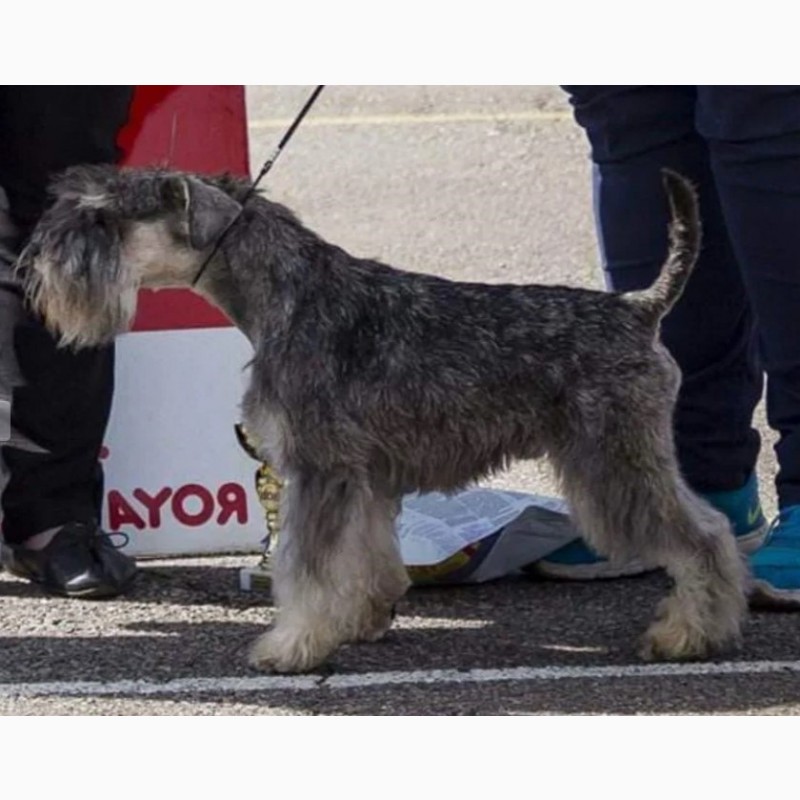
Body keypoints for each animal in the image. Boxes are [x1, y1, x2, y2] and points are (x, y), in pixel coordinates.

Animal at [18, 166, 748, 672]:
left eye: (104, 219)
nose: (33, 266)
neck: (289, 296)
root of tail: (639, 310)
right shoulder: (363, 476)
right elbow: (365, 557)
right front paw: (361, 618)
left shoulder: (317, 470)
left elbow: (306, 568)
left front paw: (290, 647)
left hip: (612, 461)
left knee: (705, 535)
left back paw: (689, 632)